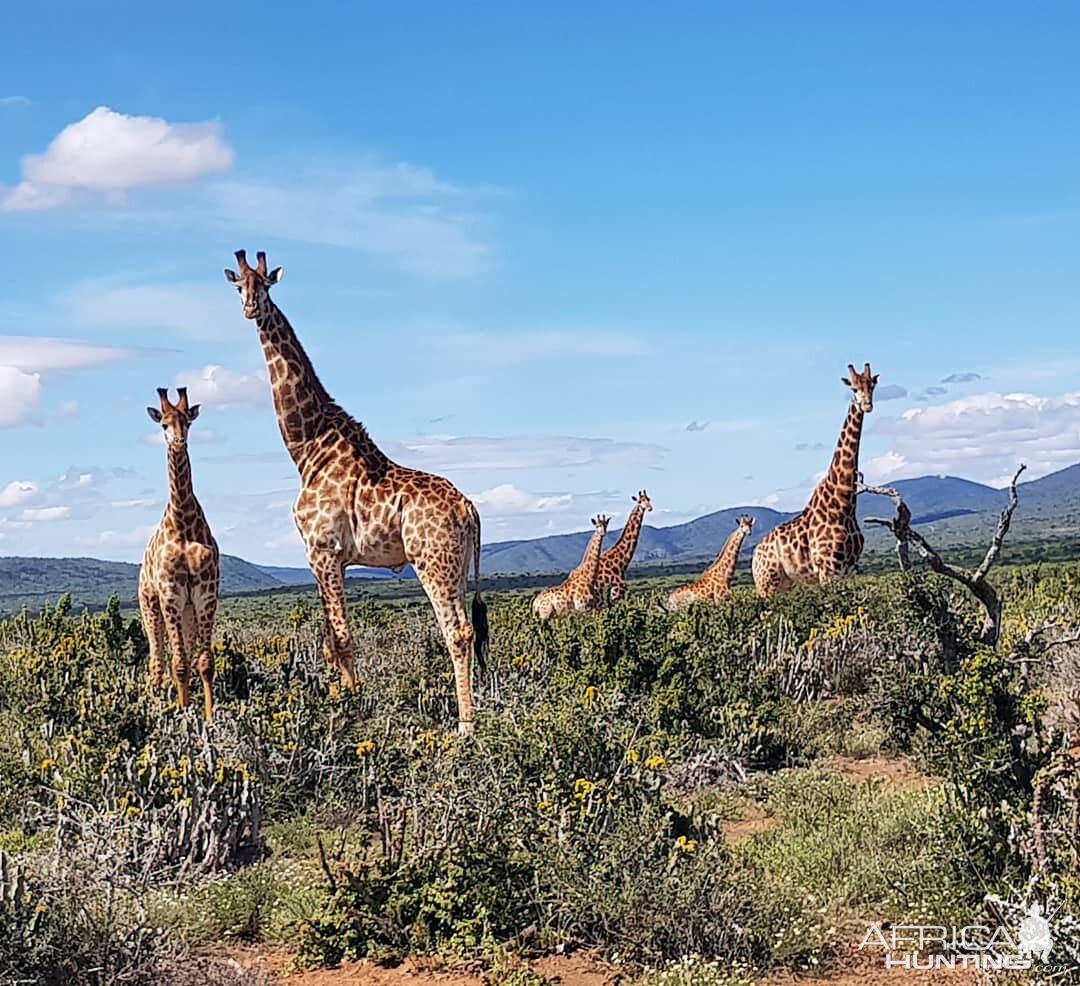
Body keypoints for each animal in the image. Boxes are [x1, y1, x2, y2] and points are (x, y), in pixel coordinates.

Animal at [223, 250, 486, 734]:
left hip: (432, 562)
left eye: (265, 285)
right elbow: (331, 640)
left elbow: (342, 639)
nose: (250, 308)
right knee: (469, 629)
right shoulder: (335, 558)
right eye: (238, 286)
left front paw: (351, 707)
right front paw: (340, 700)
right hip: (457, 566)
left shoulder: (321, 550)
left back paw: (465, 726)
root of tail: (469, 508)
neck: (307, 447)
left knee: (456, 631)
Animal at [751, 360, 876, 591]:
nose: (867, 405)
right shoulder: (828, 568)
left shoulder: (850, 568)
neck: (844, 504)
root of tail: (755, 556)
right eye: (854, 389)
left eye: (871, 386)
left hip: (788, 586)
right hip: (766, 584)